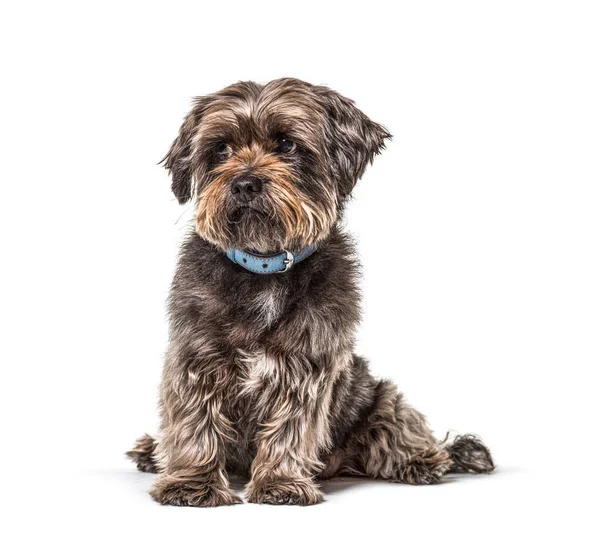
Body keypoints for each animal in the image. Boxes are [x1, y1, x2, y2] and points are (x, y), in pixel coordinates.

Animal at [125, 76, 492, 506]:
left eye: (286, 144)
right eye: (221, 148)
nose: (244, 183)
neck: (264, 267)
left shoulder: (305, 365)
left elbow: (291, 426)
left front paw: (280, 483)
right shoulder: (196, 357)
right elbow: (194, 422)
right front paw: (191, 482)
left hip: (380, 396)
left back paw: (423, 460)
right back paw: (151, 451)